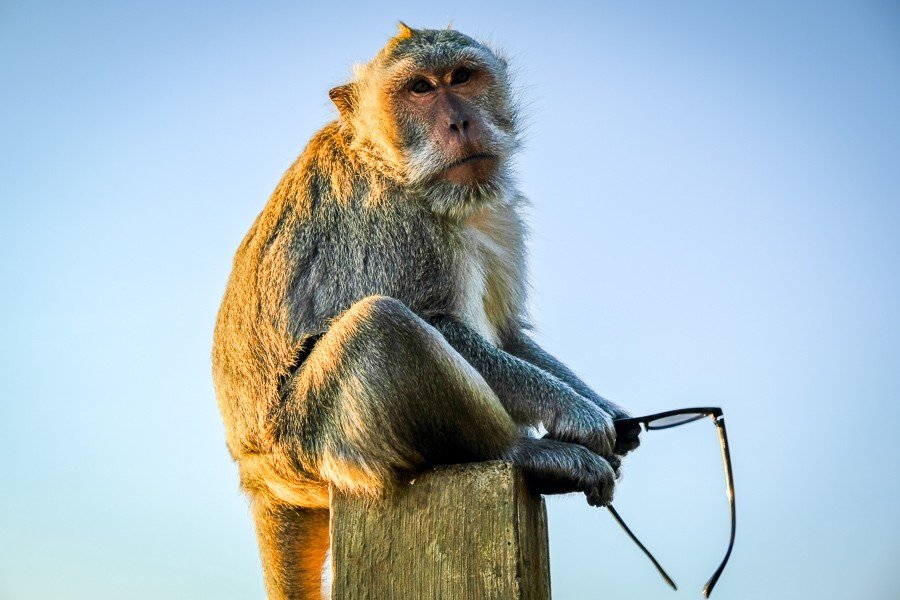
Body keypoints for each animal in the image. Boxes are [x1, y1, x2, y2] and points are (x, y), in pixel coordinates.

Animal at [214, 23, 644, 600]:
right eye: (419, 88)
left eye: (461, 77)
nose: (459, 121)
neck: (390, 160)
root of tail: (256, 476)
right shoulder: (394, 221)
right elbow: (437, 322)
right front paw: (576, 413)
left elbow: (507, 334)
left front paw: (605, 408)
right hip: (308, 444)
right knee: (382, 326)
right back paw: (521, 454)